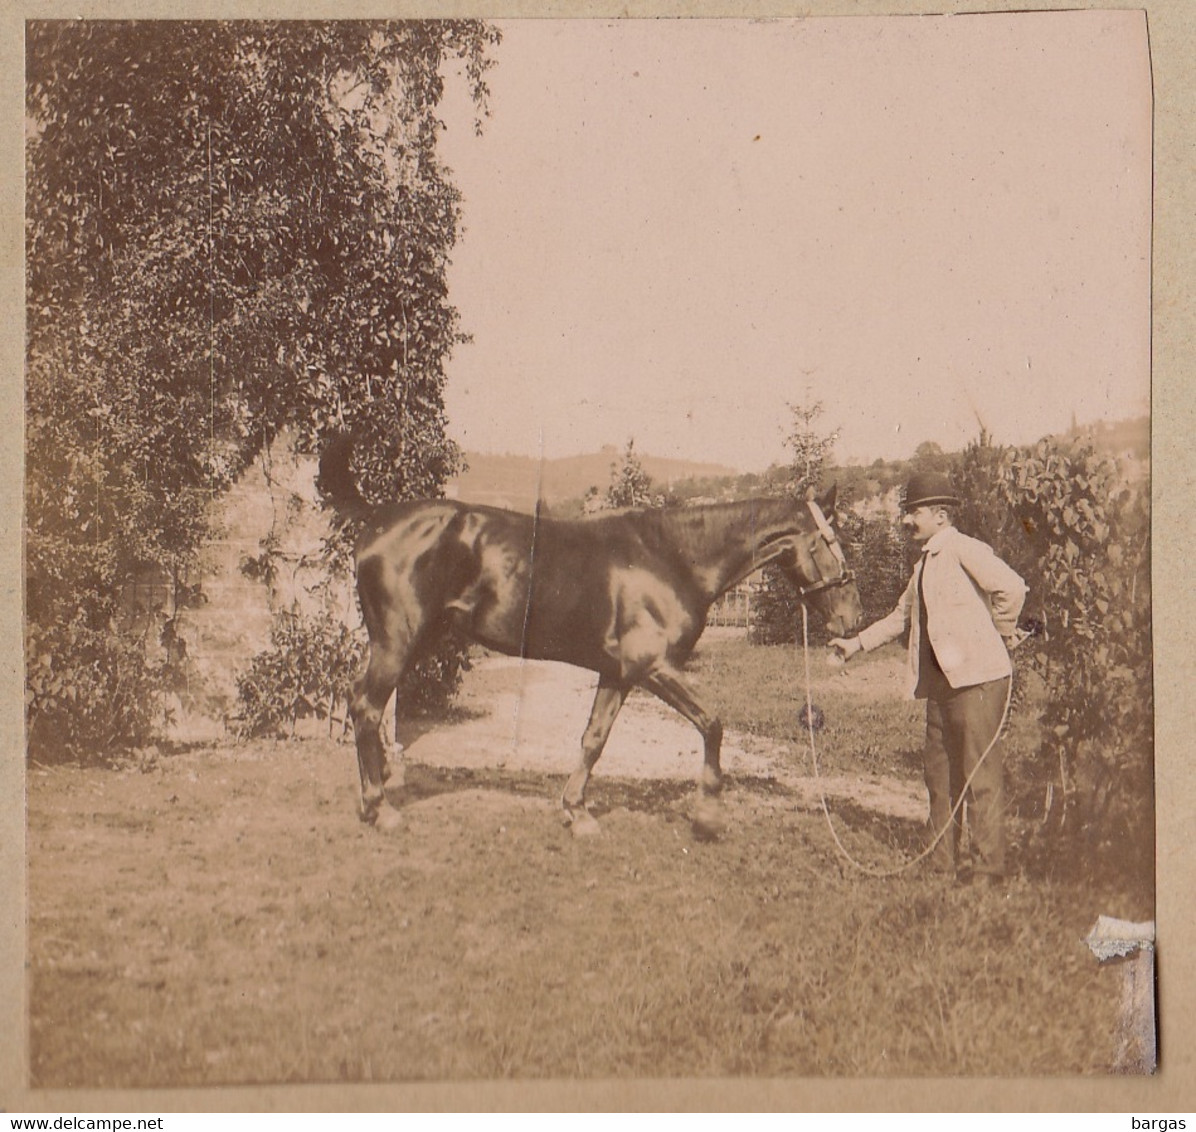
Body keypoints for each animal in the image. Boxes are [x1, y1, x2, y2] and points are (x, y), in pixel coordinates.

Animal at [318, 437, 861, 832]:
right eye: (832, 541)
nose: (851, 619)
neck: (670, 557)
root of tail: (377, 519)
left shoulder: (617, 673)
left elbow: (594, 739)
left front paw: (576, 812)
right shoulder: (653, 667)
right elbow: (712, 724)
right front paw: (707, 814)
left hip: (416, 641)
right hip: (397, 641)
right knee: (365, 705)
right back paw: (379, 807)